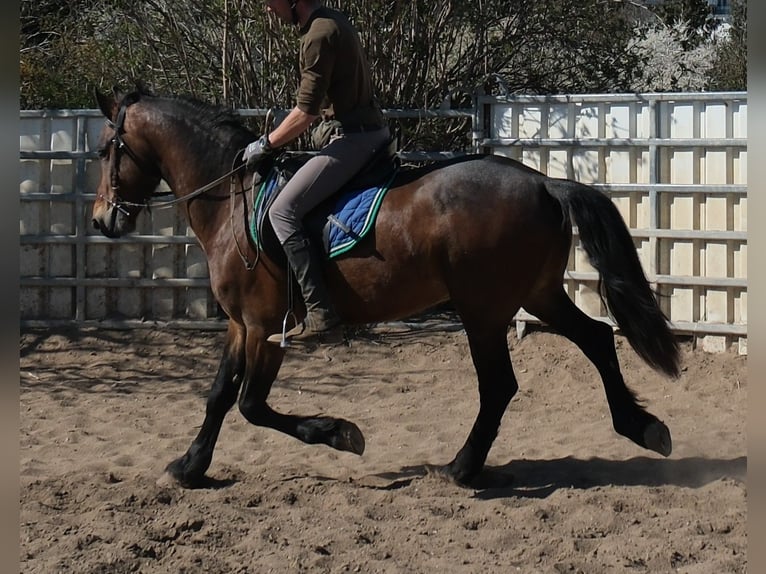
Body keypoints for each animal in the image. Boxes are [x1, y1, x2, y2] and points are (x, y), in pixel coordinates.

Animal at [91, 85, 680, 488]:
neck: (233, 201)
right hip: (536, 295)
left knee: (499, 386)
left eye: (104, 150)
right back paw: (642, 427)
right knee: (597, 339)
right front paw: (190, 466)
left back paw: (462, 468)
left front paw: (341, 434)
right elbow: (217, 396)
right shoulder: (240, 325)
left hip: (483, 310)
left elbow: (251, 405)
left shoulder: (264, 328)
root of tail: (545, 182)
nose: (101, 219)